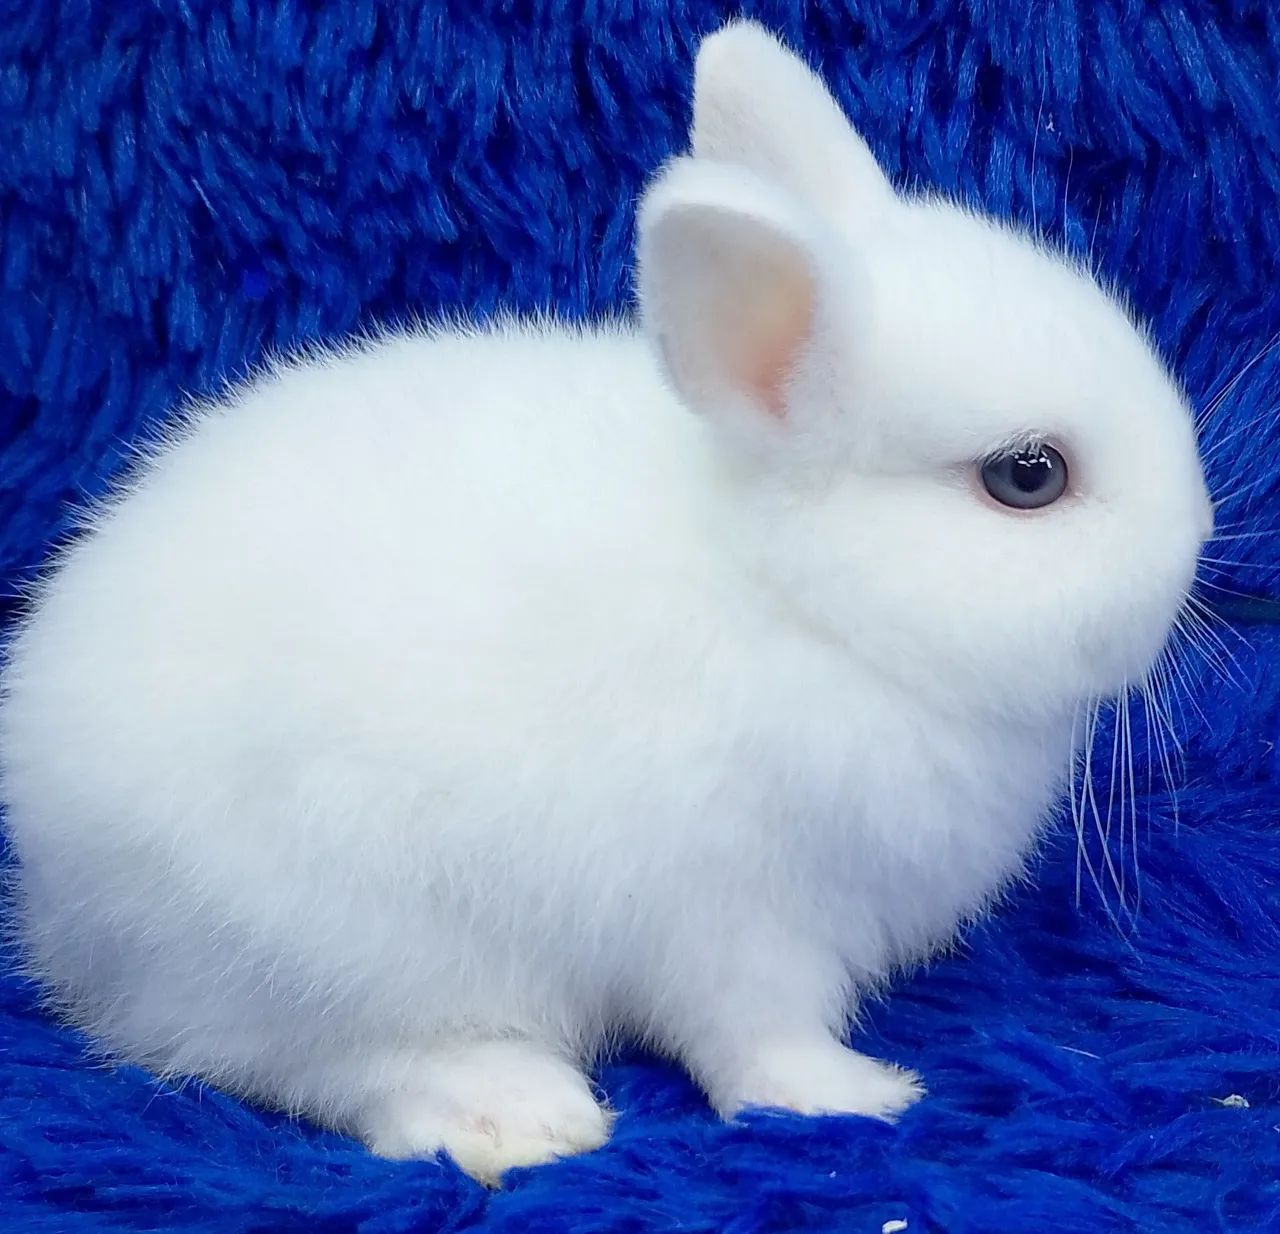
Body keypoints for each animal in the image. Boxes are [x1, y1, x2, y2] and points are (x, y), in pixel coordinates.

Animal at [0, 20, 1213, 1185]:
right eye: (1027, 476)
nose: (1197, 541)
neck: (802, 601)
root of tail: (59, 883)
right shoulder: (739, 916)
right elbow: (756, 1035)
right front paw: (854, 1097)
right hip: (333, 944)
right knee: (309, 1062)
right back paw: (513, 1114)